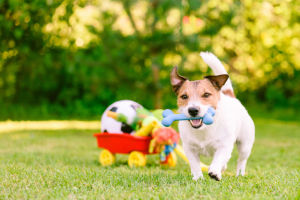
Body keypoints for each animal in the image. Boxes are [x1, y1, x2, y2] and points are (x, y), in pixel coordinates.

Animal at [171, 51, 255, 181]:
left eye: (206, 94)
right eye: (184, 96)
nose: (193, 110)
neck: (204, 128)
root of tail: (231, 97)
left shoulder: (224, 146)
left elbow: (219, 158)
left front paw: (215, 172)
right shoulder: (189, 149)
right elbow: (195, 164)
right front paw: (198, 178)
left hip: (245, 144)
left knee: (241, 160)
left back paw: (239, 174)